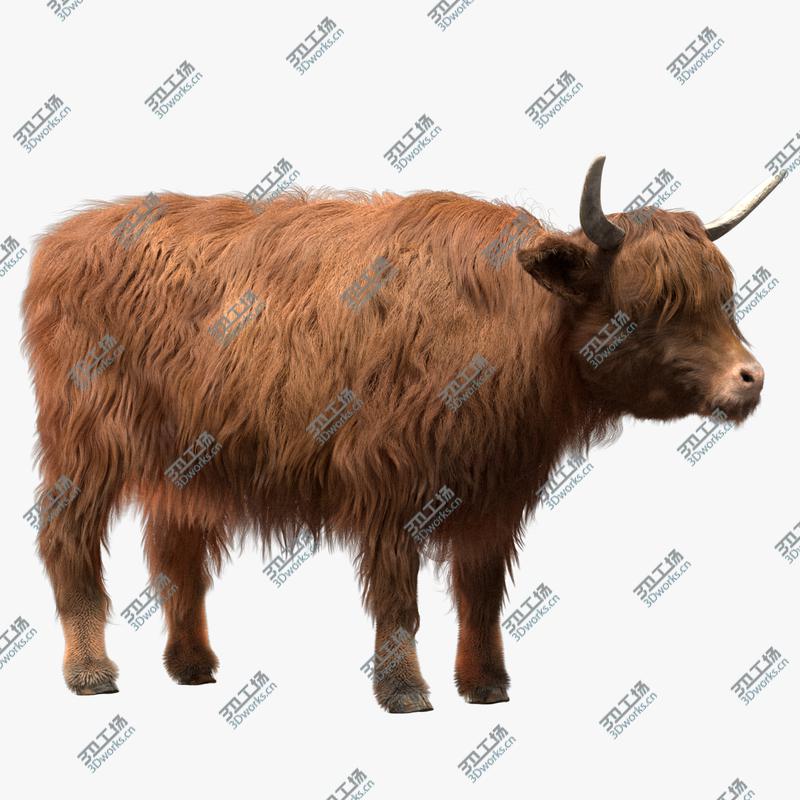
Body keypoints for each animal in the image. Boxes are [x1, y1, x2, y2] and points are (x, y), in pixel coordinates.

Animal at [21, 156, 783, 712]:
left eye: (725, 296)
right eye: (647, 305)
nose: (750, 379)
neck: (510, 331)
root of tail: (65, 238)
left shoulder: (493, 495)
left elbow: (480, 594)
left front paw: (486, 686)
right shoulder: (388, 487)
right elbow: (399, 599)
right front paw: (406, 692)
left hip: (186, 462)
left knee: (176, 554)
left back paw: (193, 666)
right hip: (83, 445)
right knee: (68, 540)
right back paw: (90, 671)